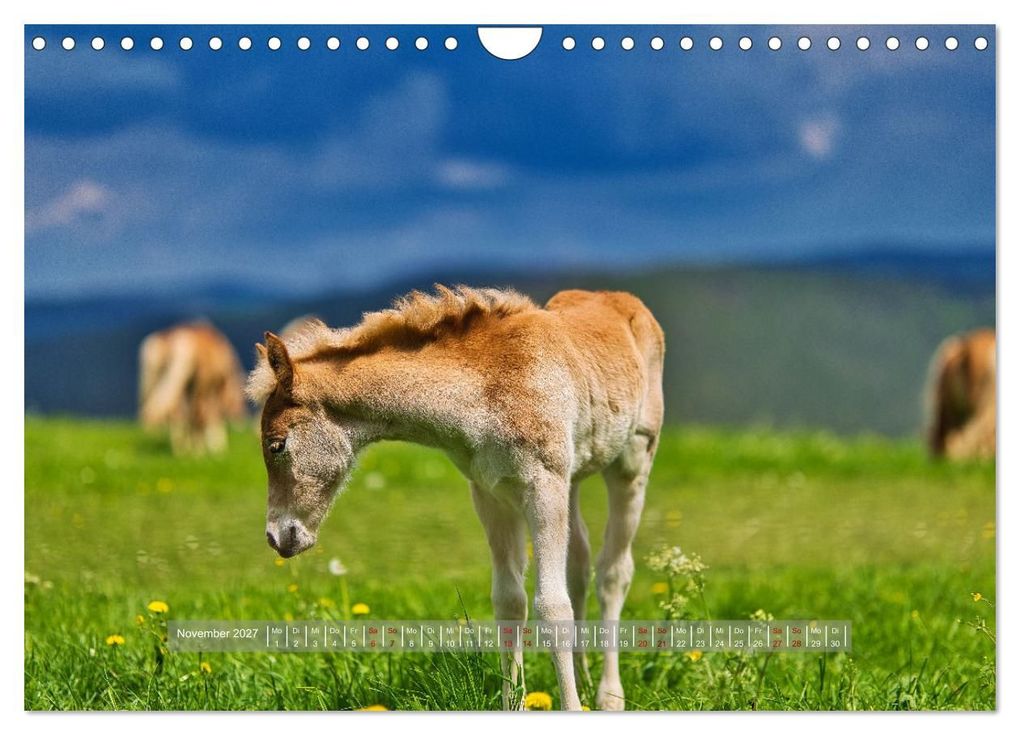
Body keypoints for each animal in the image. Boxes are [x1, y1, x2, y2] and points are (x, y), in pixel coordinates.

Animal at [138, 321, 246, 455]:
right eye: (240, 399)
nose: (241, 421)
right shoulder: (207, 387)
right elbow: (212, 414)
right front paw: (216, 447)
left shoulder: (190, 389)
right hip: (195, 385)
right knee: (194, 413)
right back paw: (195, 451)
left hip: (167, 382)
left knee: (176, 413)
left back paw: (181, 449)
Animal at [247, 285, 665, 711]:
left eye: (276, 444)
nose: (277, 537)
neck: (486, 389)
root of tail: (619, 298)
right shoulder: (490, 493)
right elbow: (509, 601)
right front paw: (513, 704)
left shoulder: (543, 485)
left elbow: (552, 606)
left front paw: (572, 707)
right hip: (575, 475)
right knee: (579, 562)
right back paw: (583, 674)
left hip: (632, 462)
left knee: (613, 571)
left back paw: (609, 696)